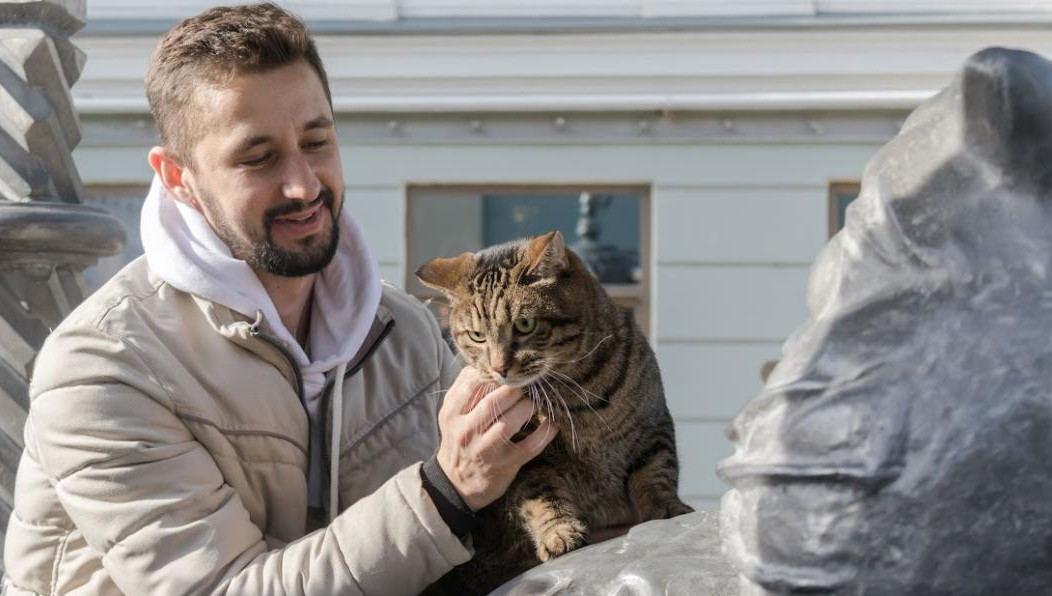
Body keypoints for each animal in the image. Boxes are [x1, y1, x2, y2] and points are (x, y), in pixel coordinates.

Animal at [414, 231, 694, 592]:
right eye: (477, 336)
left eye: (525, 324)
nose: (499, 368)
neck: (577, 392)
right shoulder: (524, 460)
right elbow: (540, 494)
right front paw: (559, 532)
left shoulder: (653, 429)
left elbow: (657, 474)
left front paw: (670, 511)